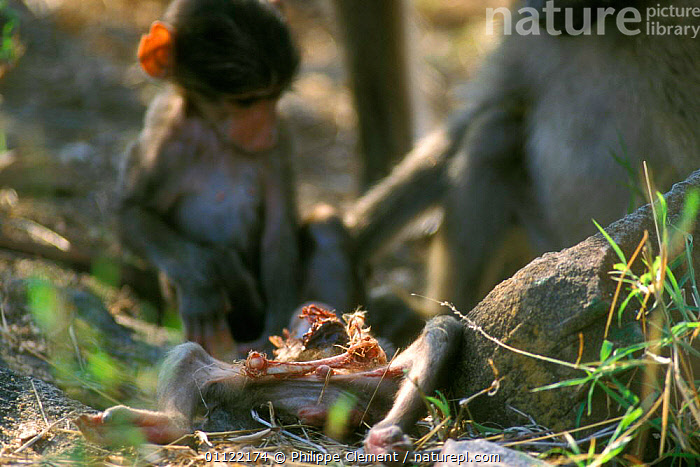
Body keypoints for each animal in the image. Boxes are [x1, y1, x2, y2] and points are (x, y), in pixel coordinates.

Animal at [118, 0, 363, 358]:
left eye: (275, 96)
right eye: (245, 101)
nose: (266, 131)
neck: (215, 135)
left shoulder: (281, 141)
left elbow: (278, 228)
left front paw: (280, 328)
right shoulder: (162, 138)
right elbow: (133, 212)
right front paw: (200, 286)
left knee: (325, 226)